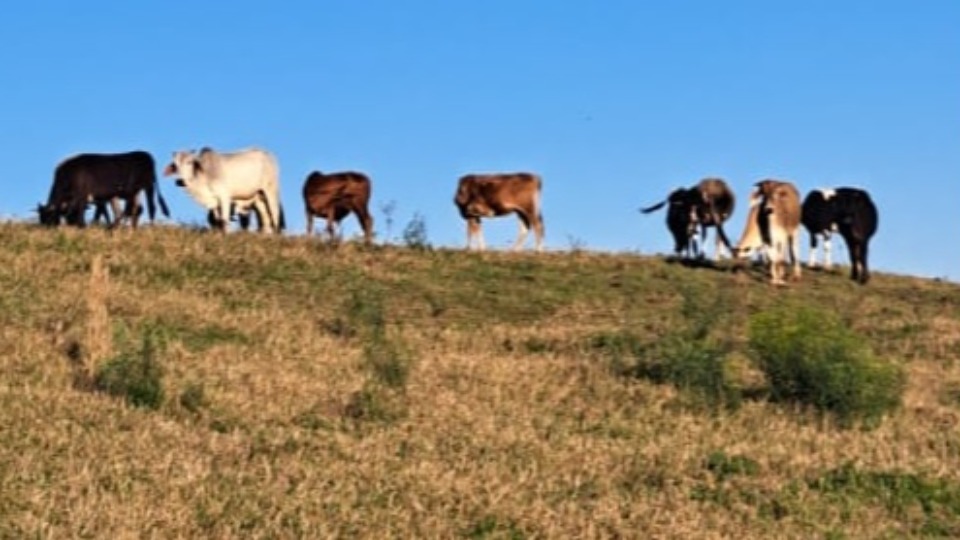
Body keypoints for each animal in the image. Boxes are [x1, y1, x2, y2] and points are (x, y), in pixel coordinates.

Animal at [38, 151, 170, 229]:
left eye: (48, 219)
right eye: (41, 219)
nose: (45, 230)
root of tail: (145, 154)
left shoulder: (82, 195)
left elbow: (80, 214)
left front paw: (83, 226)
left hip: (146, 188)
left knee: (148, 208)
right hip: (135, 193)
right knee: (134, 210)